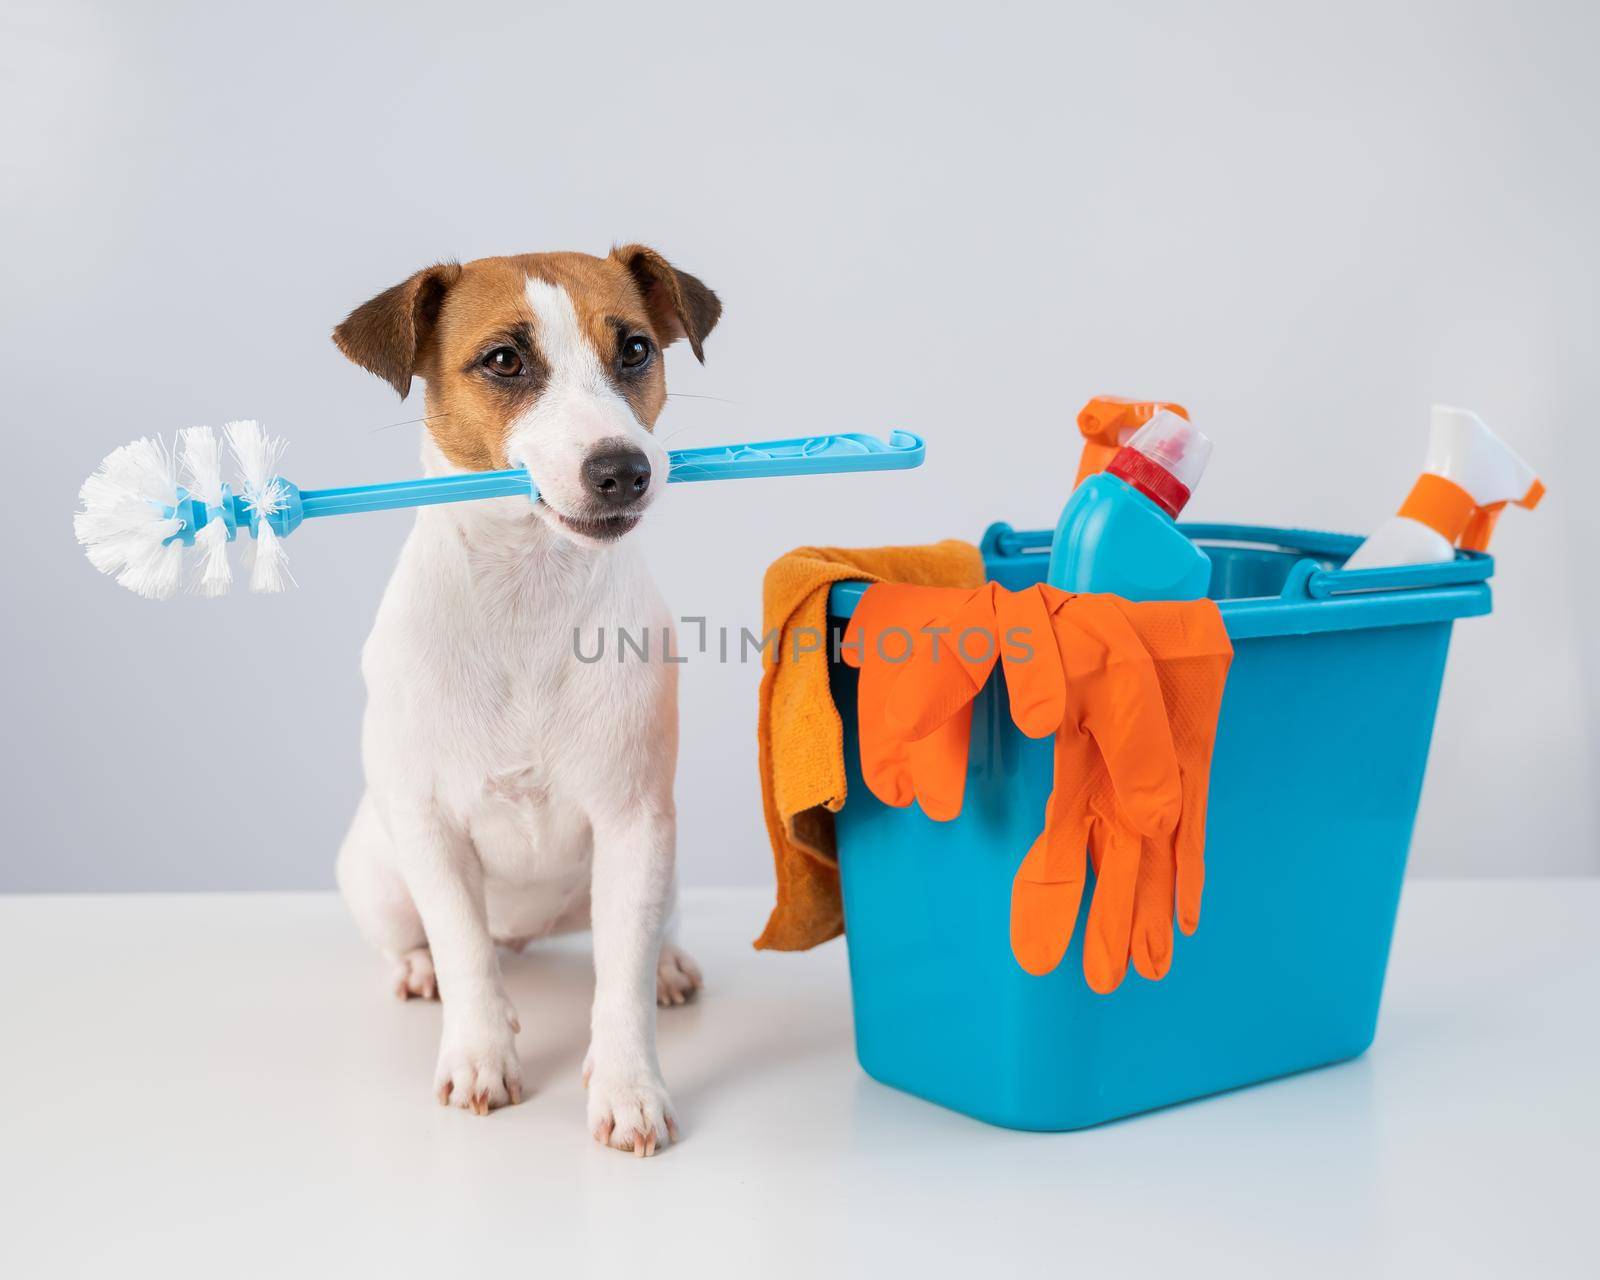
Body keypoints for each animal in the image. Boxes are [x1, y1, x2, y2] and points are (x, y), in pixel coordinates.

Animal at [331, 249, 720, 1158]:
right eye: (504, 359)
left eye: (637, 349)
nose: (623, 468)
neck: (528, 592)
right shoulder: (431, 830)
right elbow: (466, 951)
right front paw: (480, 1055)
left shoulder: (634, 825)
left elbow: (619, 980)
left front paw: (630, 1087)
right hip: (376, 873)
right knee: (433, 938)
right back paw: (419, 969)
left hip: (659, 865)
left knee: (648, 933)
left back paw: (669, 963)